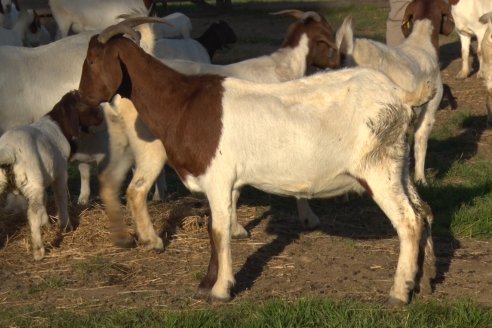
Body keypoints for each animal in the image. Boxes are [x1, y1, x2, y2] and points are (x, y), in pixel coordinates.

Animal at [0, 91, 102, 260]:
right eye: (85, 105)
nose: (100, 115)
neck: (57, 125)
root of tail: (9, 151)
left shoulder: (44, 178)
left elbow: (45, 200)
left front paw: (47, 223)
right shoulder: (60, 173)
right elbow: (60, 198)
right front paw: (66, 226)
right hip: (32, 183)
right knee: (32, 215)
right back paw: (39, 251)